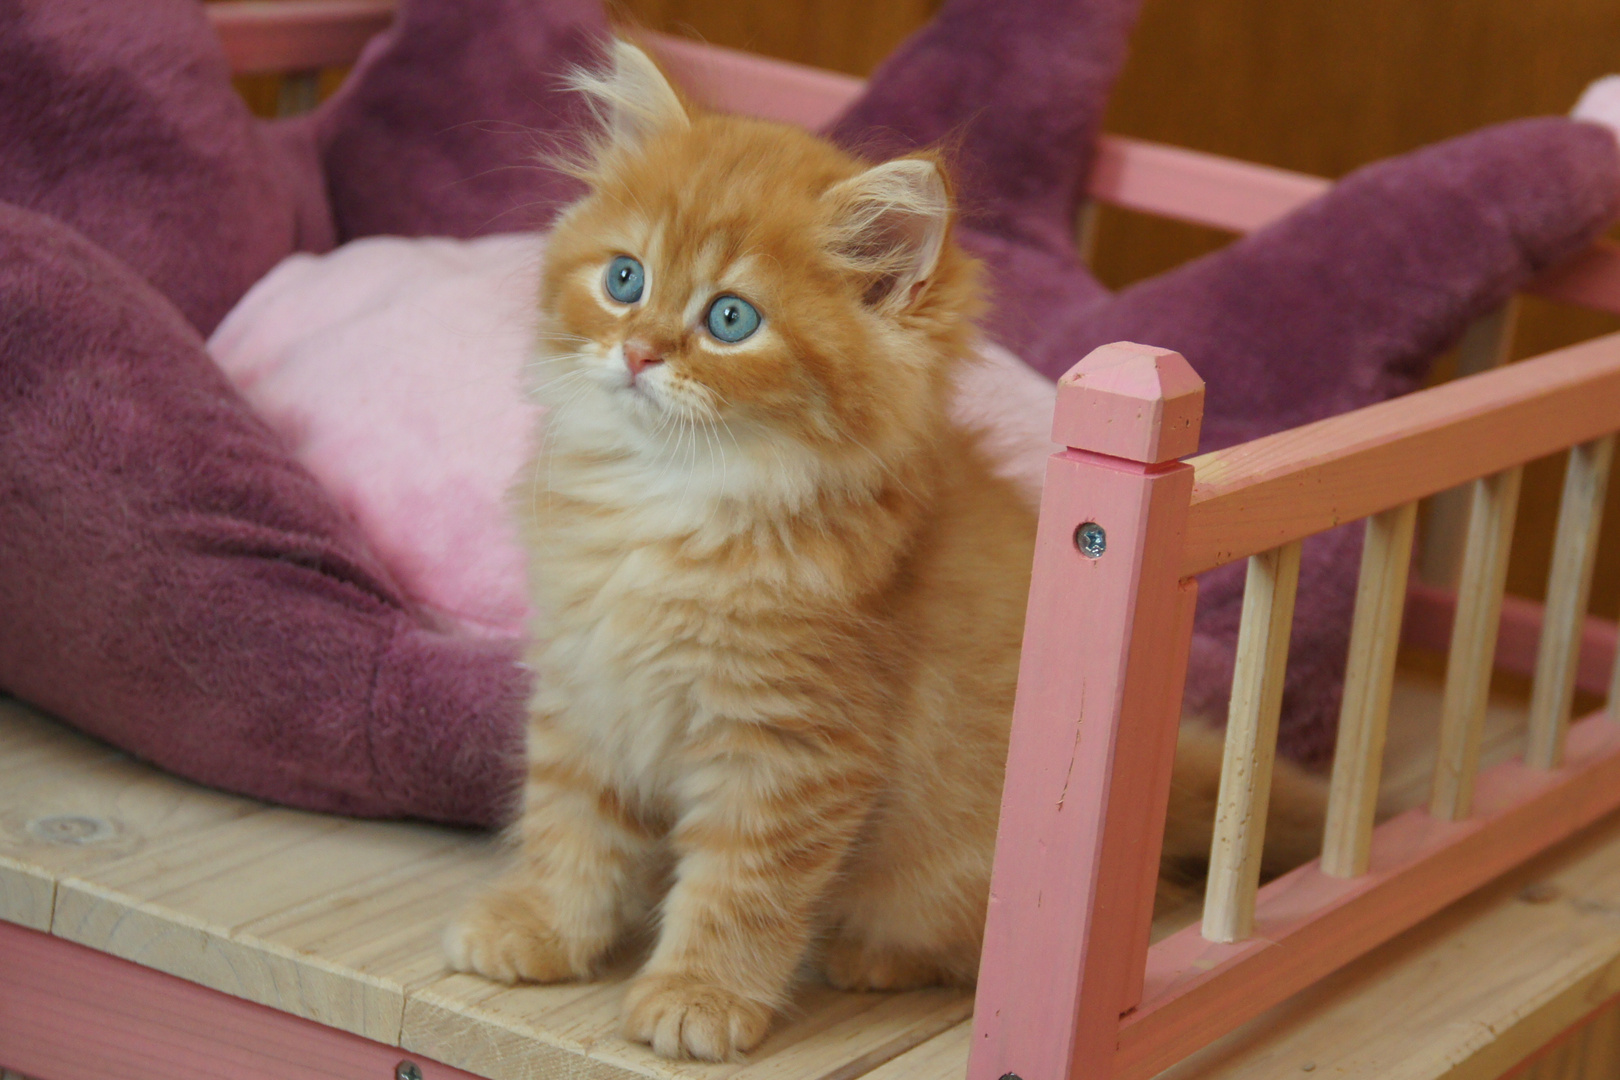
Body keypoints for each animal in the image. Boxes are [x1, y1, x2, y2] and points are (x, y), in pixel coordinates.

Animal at [447, 42, 1328, 1062]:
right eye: (624, 280)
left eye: (731, 320)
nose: (637, 353)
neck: (671, 501)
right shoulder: (589, 690)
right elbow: (570, 826)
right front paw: (543, 929)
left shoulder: (792, 745)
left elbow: (739, 889)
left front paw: (698, 997)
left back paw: (873, 957)